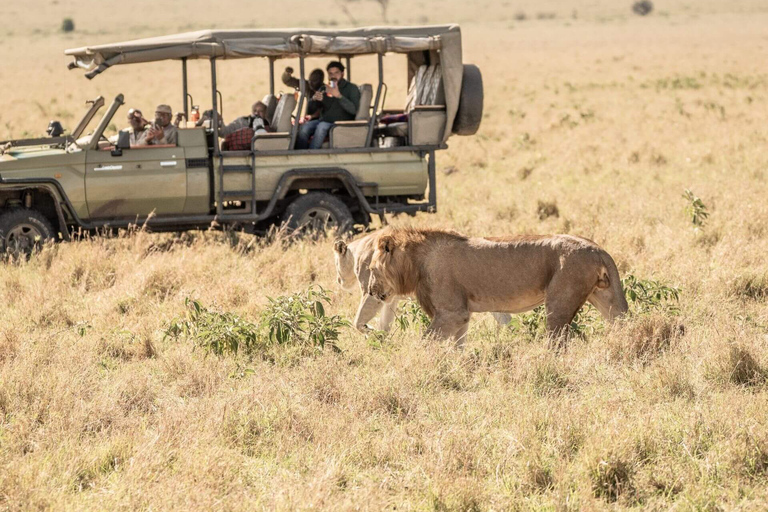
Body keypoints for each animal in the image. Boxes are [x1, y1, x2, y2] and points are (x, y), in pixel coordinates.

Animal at [332, 232, 512, 332]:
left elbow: (357, 322)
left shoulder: (371, 293)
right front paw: (382, 340)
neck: (356, 252)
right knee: (504, 317)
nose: (338, 280)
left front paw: (372, 333)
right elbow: (385, 323)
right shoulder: (390, 297)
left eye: (335, 263)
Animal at [368, 227, 632, 344]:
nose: (370, 290)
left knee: (557, 341)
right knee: (621, 323)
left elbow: (427, 342)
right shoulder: (461, 316)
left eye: (371, 269)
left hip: (559, 302)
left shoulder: (452, 313)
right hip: (605, 296)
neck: (416, 262)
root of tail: (598, 249)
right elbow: (457, 345)